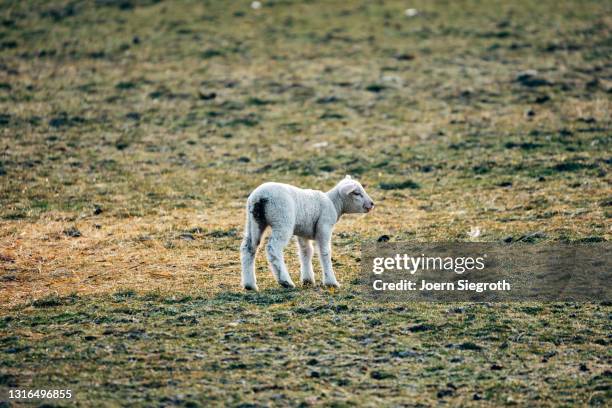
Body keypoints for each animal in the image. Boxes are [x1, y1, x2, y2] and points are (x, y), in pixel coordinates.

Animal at [241, 175, 376, 290]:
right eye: (357, 193)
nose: (372, 204)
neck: (334, 203)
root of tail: (259, 197)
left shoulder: (303, 233)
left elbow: (306, 252)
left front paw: (307, 279)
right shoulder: (324, 226)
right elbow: (325, 253)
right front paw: (331, 282)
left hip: (254, 221)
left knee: (248, 248)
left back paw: (250, 284)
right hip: (282, 221)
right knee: (273, 248)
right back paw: (285, 281)